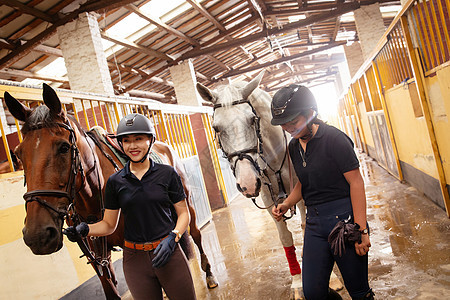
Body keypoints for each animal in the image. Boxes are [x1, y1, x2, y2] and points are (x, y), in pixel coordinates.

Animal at [3, 84, 218, 300]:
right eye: (18, 153)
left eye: (64, 147)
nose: (37, 236)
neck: (92, 197)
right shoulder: (98, 257)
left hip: (187, 204)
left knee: (195, 233)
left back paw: (209, 275)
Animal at [197, 71, 342, 298]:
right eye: (216, 128)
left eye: (252, 119)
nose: (247, 183)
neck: (274, 157)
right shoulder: (268, 199)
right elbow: (285, 238)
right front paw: (297, 282)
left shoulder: (303, 193)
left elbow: (308, 226)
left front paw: (331, 277)